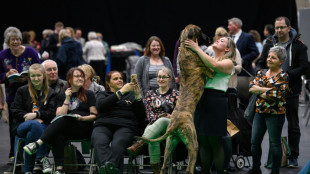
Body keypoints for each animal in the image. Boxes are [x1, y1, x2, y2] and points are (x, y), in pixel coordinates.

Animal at [138, 24, 216, 174]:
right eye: (200, 31)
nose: (210, 39)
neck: (186, 48)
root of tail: (174, 124)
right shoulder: (210, 71)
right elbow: (211, 67)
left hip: (169, 144)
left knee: (163, 167)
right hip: (193, 144)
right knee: (189, 168)